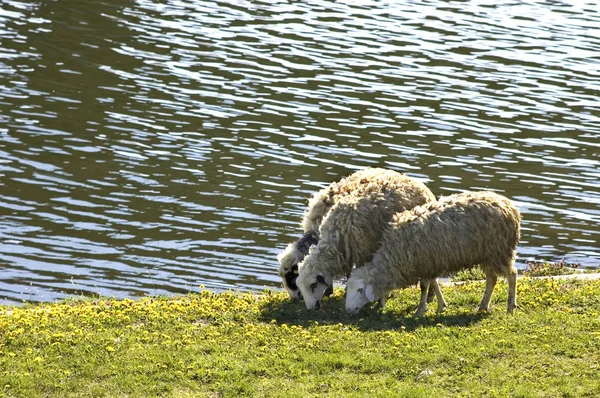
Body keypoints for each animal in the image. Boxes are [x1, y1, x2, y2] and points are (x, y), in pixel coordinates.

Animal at [344, 191, 524, 316]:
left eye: (359, 290)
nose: (348, 310)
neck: (393, 257)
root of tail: (510, 206)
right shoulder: (431, 263)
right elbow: (434, 283)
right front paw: (441, 305)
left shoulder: (425, 263)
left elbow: (424, 287)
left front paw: (420, 310)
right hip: (487, 254)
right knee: (492, 279)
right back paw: (482, 306)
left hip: (500, 251)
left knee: (512, 275)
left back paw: (510, 306)